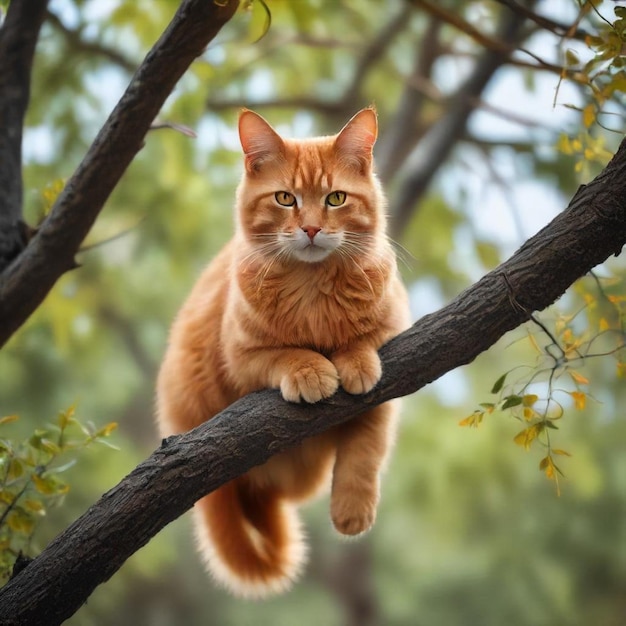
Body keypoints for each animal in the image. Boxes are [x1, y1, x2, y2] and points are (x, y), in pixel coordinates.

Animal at [156, 107, 410, 596]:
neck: (312, 289)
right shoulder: (241, 356)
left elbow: (365, 443)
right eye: (285, 199)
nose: (311, 228)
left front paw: (352, 509)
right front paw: (311, 370)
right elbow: (285, 354)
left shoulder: (395, 336)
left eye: (335, 198)